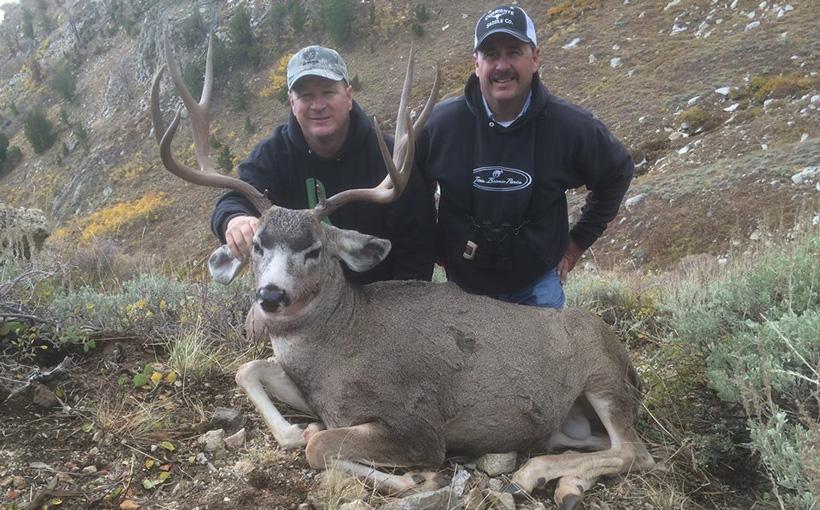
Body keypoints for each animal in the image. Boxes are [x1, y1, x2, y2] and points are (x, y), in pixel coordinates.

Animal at [150, 33, 654, 510]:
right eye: (257, 244)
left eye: (315, 250)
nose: (271, 296)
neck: (340, 345)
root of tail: (627, 363)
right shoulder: (316, 393)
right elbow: (251, 370)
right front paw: (297, 430)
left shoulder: (417, 425)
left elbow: (322, 447)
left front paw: (417, 479)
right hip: (572, 421)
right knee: (609, 445)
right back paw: (562, 476)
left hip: (604, 377)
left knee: (636, 450)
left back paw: (537, 475)